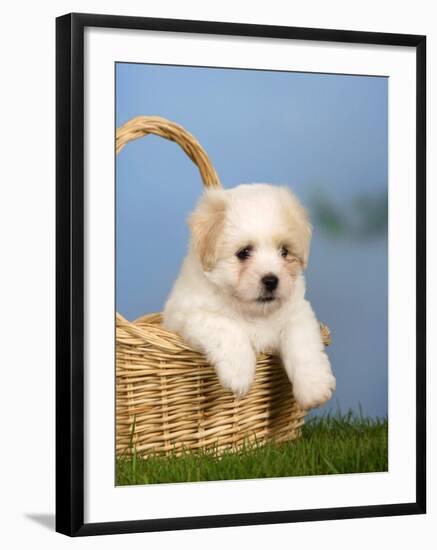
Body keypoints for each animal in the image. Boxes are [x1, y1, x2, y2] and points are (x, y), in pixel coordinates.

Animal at [162, 184, 336, 410]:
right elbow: (227, 327)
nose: (271, 280)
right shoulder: (188, 313)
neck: (254, 312)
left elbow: (303, 344)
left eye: (284, 251)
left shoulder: (297, 312)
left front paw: (314, 387)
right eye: (244, 252)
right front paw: (239, 375)